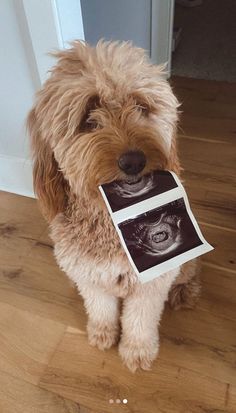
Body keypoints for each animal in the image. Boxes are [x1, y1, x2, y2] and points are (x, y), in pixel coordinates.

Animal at [27, 40, 201, 372]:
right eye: (88, 118)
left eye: (142, 107)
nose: (133, 161)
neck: (109, 223)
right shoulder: (90, 275)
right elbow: (100, 307)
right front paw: (102, 333)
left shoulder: (152, 281)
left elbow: (140, 320)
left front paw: (137, 351)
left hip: (184, 264)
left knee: (190, 271)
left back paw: (185, 291)